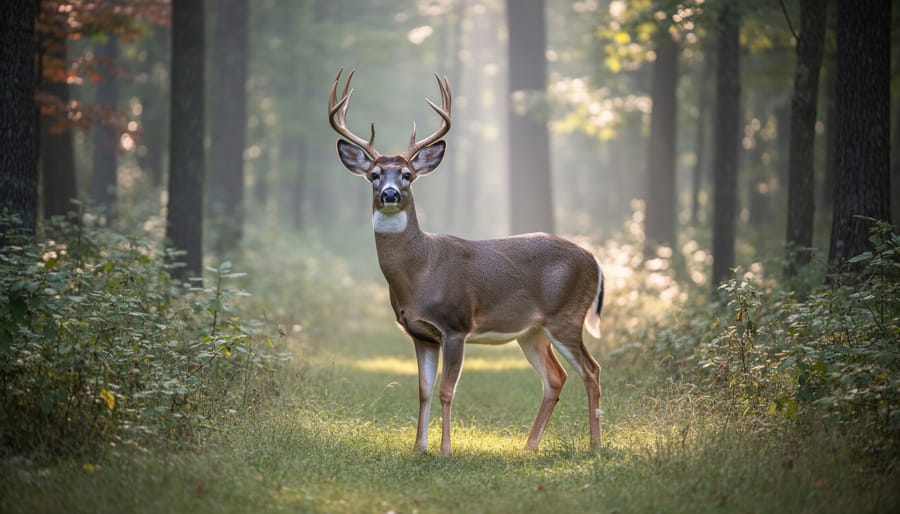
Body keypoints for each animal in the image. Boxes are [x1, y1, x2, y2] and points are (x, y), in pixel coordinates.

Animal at [327, 68, 605, 455]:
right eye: (374, 175)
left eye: (408, 175)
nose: (390, 194)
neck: (419, 272)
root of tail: (595, 261)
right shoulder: (420, 333)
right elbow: (424, 391)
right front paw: (419, 448)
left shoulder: (455, 324)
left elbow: (447, 390)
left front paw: (445, 450)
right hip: (532, 330)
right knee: (556, 377)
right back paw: (529, 446)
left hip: (566, 315)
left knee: (591, 370)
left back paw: (594, 444)